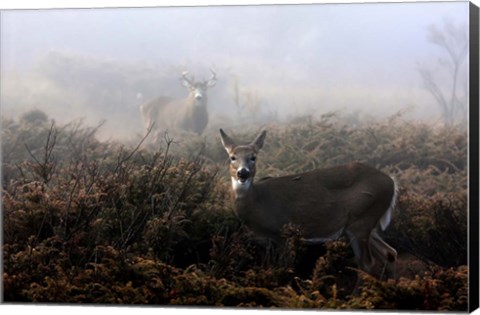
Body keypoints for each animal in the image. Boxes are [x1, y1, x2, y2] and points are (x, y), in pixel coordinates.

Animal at [220, 128, 398, 282]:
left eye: (253, 157)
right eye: (232, 157)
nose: (243, 173)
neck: (258, 203)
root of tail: (392, 182)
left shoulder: (284, 234)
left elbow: (285, 269)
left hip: (361, 220)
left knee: (367, 264)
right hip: (364, 225)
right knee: (390, 252)